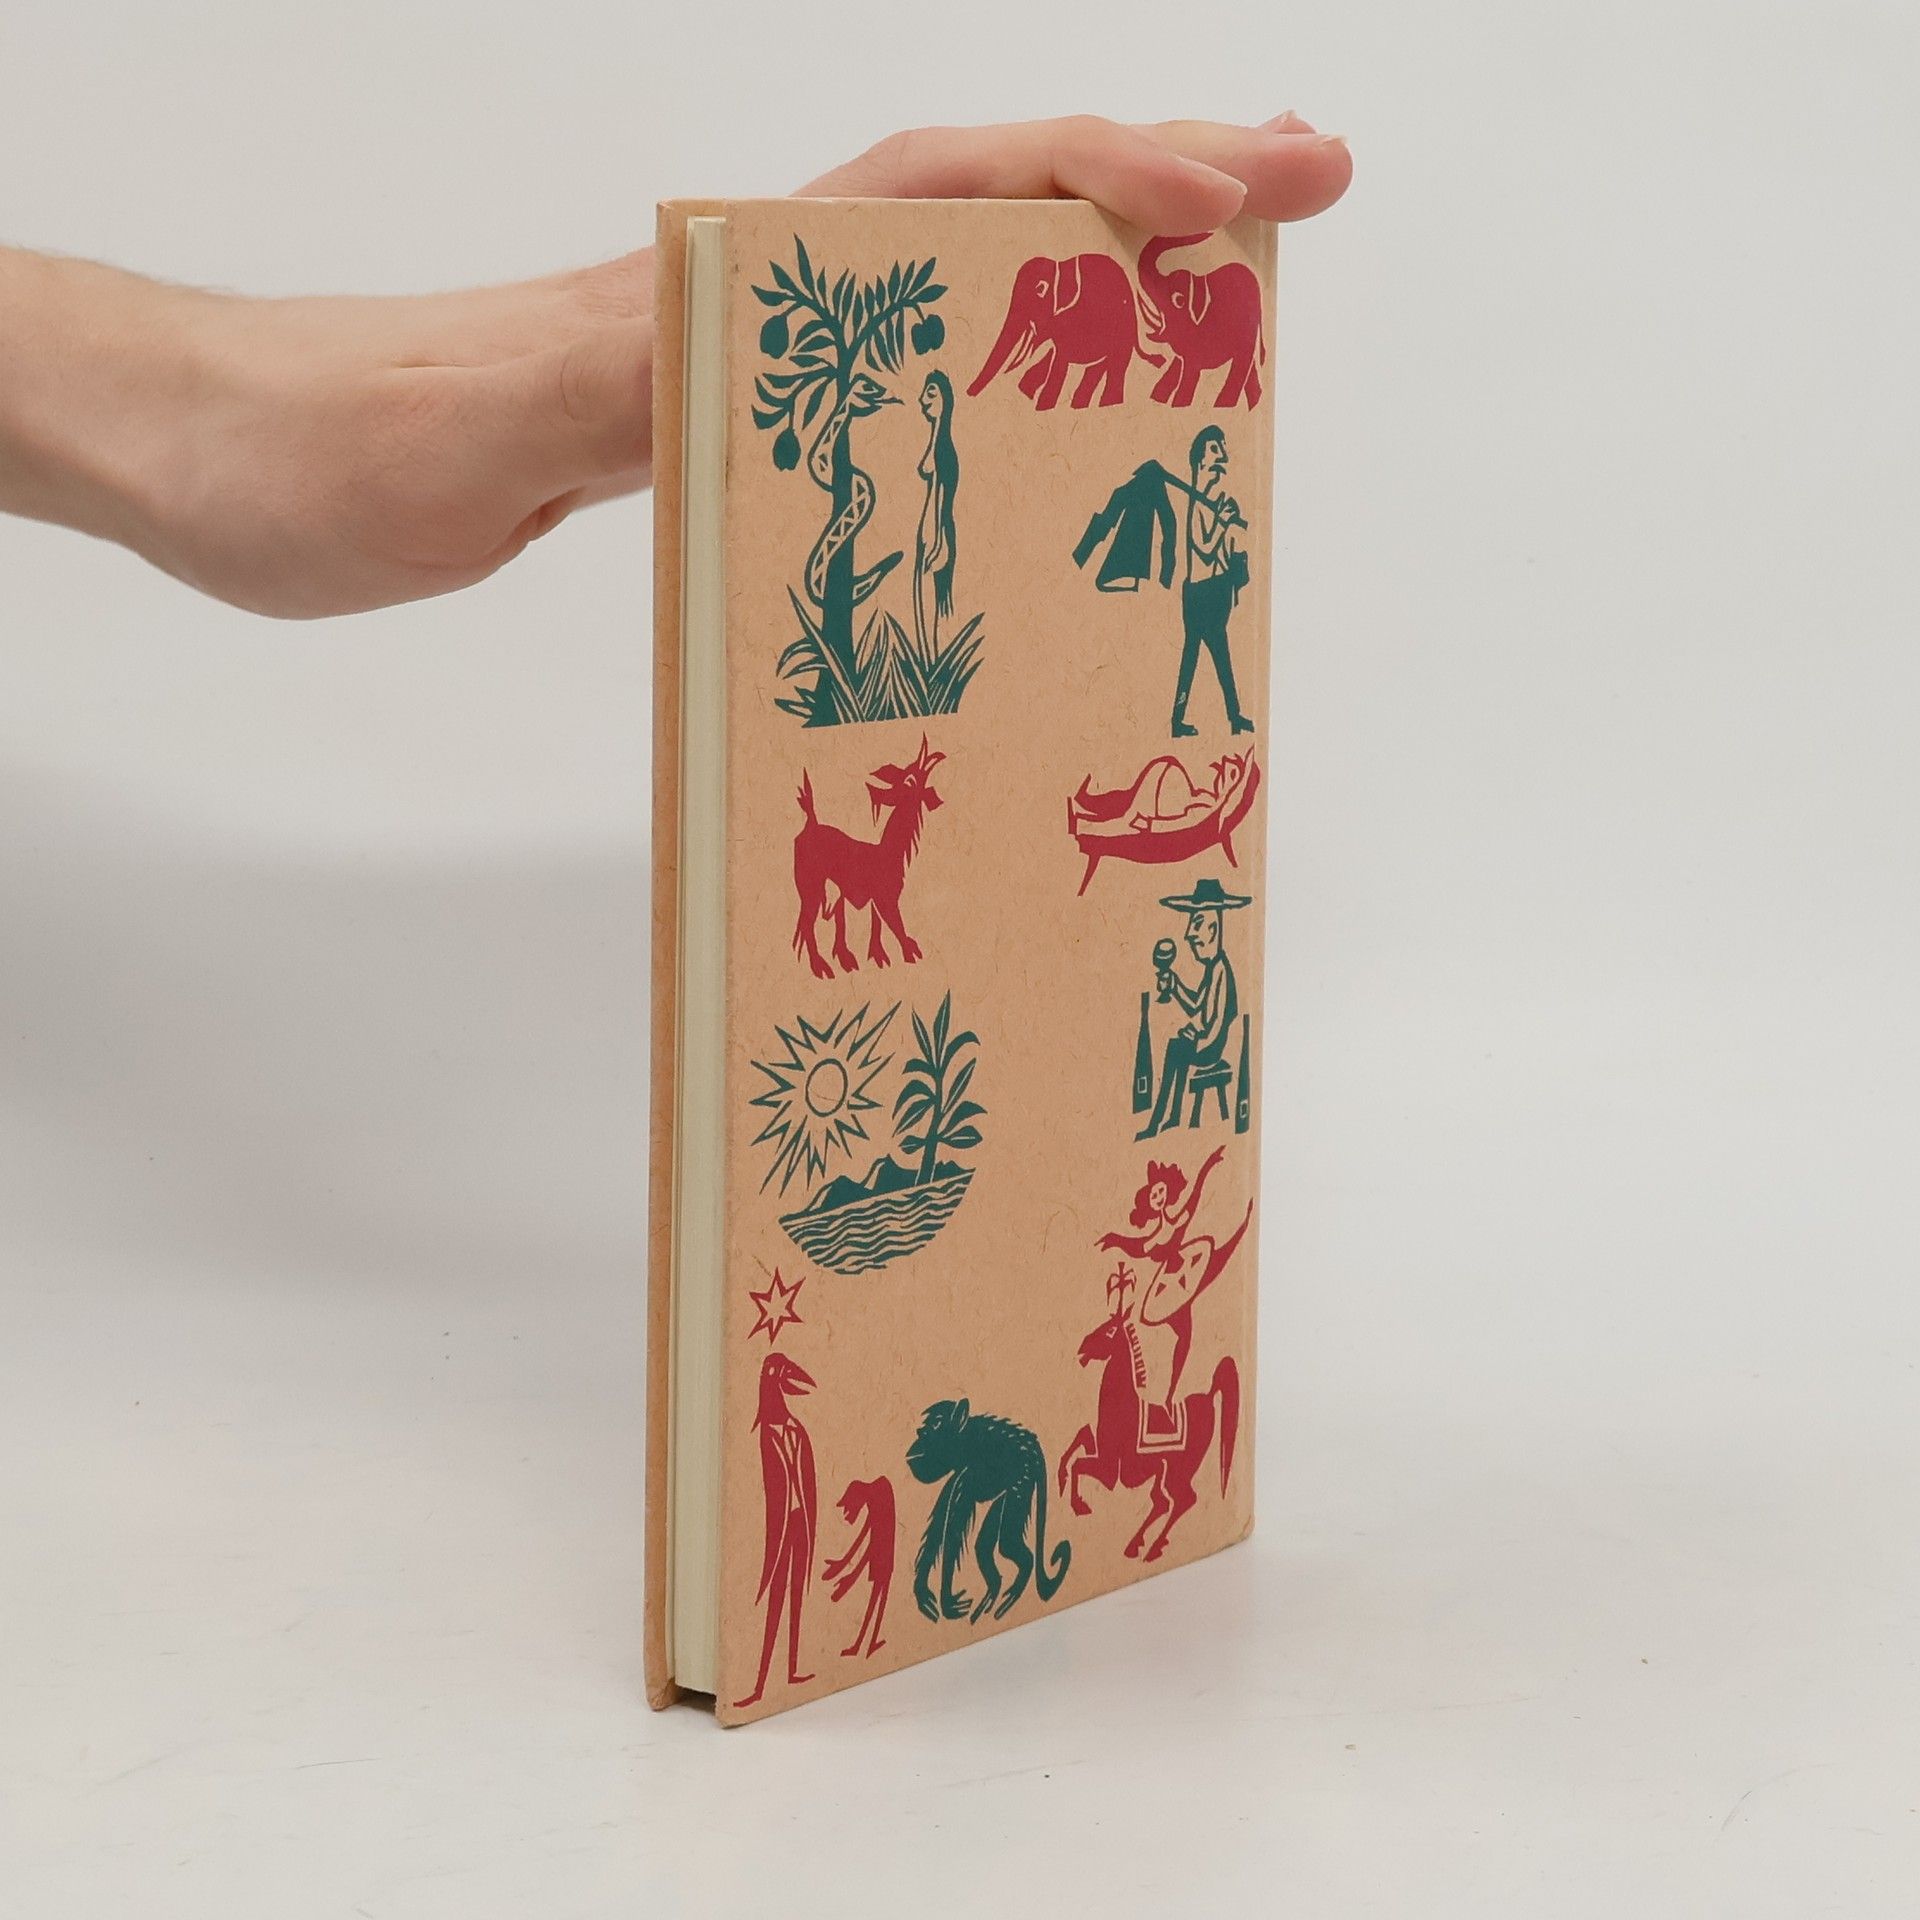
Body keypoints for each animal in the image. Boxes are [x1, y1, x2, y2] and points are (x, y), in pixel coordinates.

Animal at [792, 736, 944, 980]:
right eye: (909, 780)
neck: (889, 852)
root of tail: (810, 823)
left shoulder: (874, 900)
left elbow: (877, 925)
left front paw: (879, 957)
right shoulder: (886, 898)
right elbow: (896, 925)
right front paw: (909, 953)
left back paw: (844, 959)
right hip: (810, 886)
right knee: (807, 924)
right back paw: (820, 967)